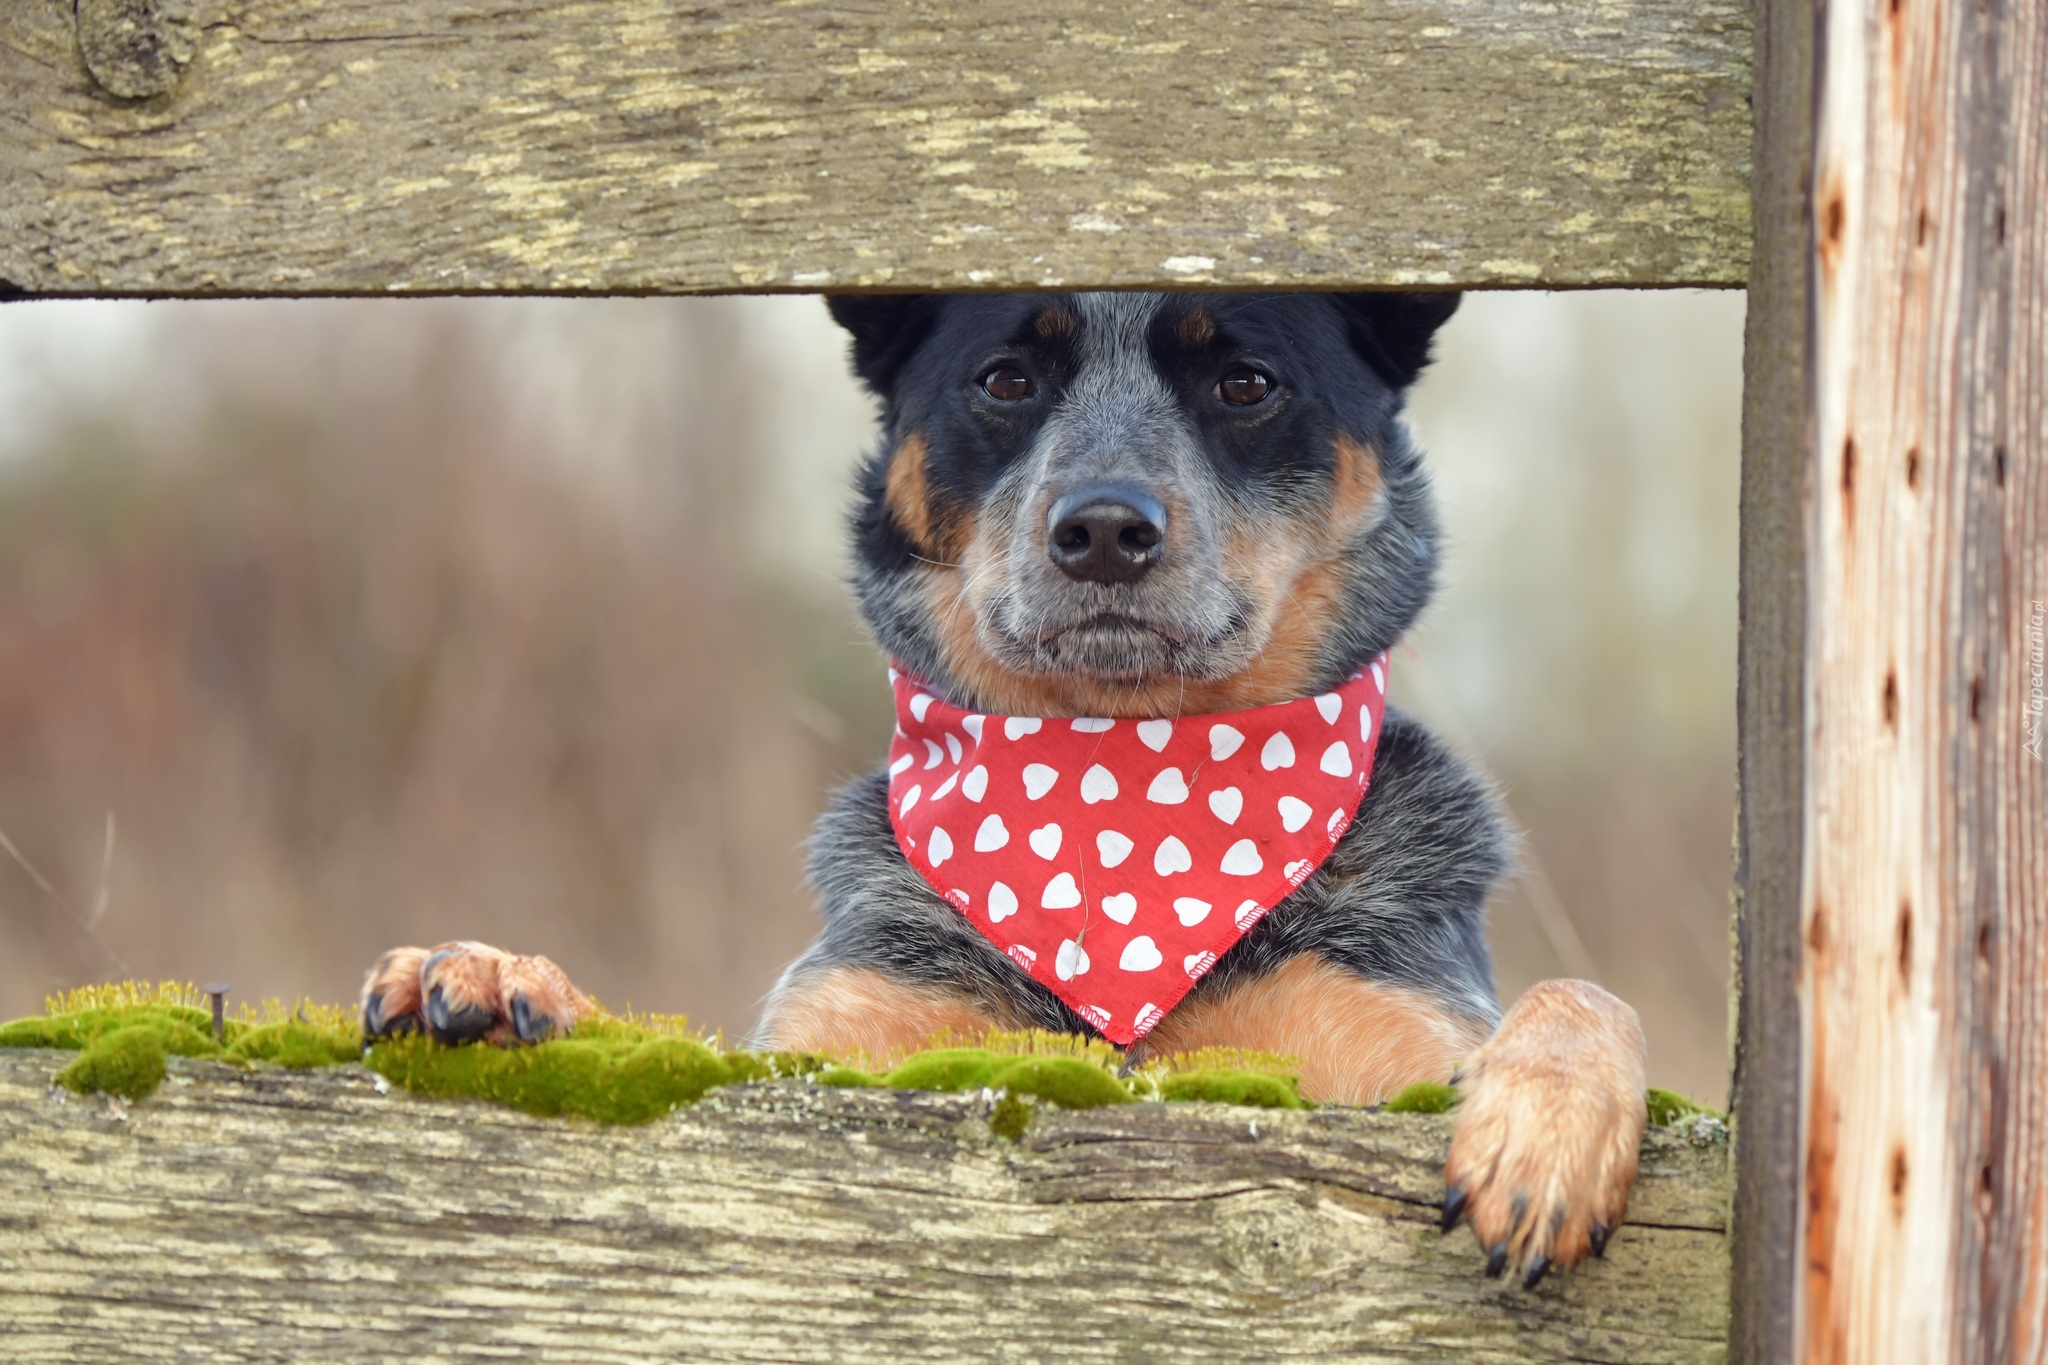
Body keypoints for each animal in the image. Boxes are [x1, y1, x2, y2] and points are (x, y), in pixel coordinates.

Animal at [364, 290, 1646, 1293]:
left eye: (1243, 383)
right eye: (1005, 380)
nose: (1104, 528)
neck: (1123, 810)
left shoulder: (1386, 1046)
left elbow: (1585, 999)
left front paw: (1546, 1123)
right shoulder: (833, 1051)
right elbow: (670, 1049)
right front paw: (496, 974)